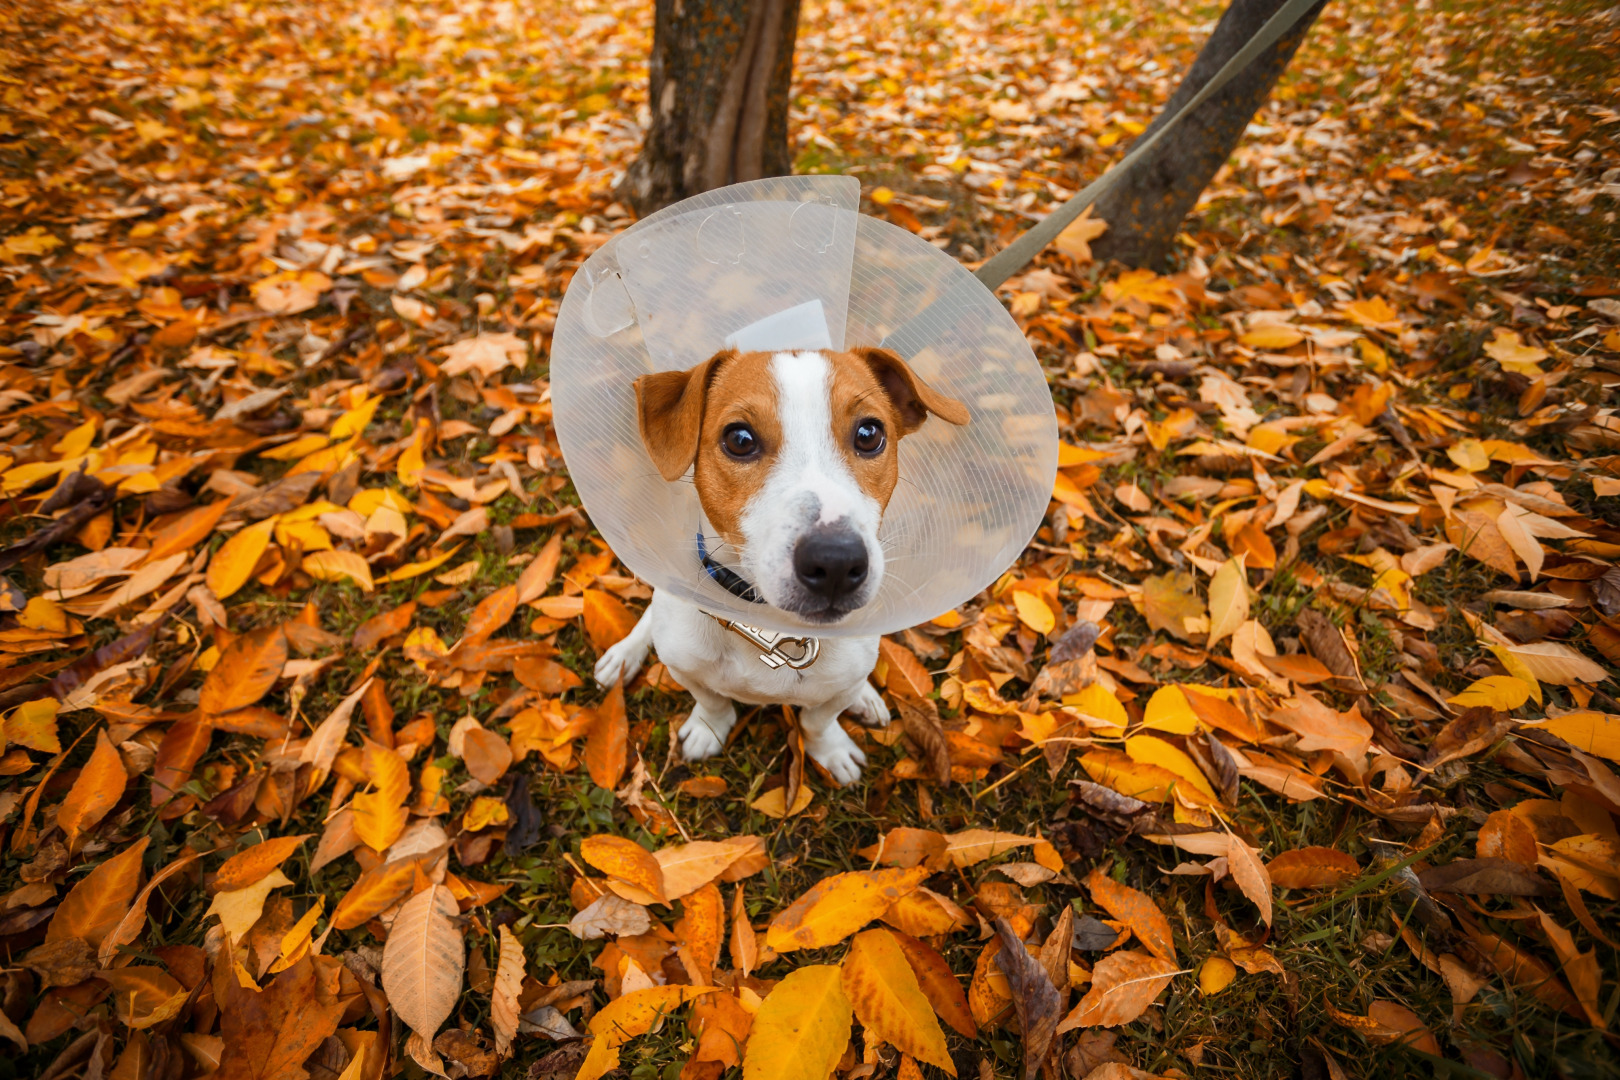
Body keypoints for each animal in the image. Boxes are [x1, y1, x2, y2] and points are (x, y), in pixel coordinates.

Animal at [592, 346, 959, 786]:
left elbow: (819, 720)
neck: (768, 627)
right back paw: (623, 655)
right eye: (739, 439)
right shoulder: (685, 668)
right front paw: (708, 729)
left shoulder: (837, 687)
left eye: (870, 434)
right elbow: (711, 699)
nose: (836, 562)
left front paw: (830, 750)